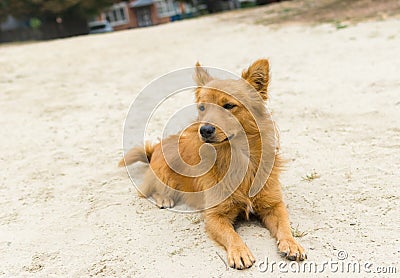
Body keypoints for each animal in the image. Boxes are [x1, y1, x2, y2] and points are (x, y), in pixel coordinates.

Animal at [119, 59, 306, 270]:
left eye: (229, 105)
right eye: (202, 108)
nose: (205, 130)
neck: (238, 157)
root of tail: (155, 149)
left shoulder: (274, 204)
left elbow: (285, 225)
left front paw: (291, 244)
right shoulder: (215, 216)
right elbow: (231, 235)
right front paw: (239, 252)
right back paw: (164, 198)